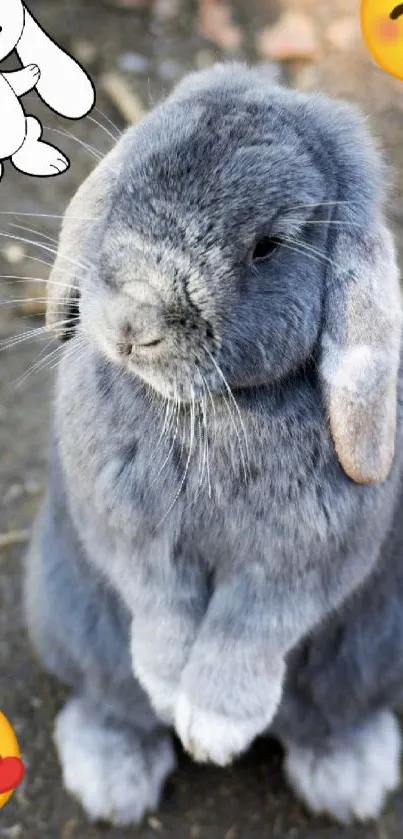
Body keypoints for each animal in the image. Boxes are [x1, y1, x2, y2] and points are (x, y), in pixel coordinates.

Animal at [24, 64, 403, 828]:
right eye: (127, 184)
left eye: (267, 246)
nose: (134, 325)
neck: (211, 410)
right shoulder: (131, 538)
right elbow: (162, 608)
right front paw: (174, 691)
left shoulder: (297, 565)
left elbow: (248, 629)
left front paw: (214, 728)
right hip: (71, 618)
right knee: (112, 700)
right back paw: (112, 779)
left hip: (371, 654)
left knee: (330, 716)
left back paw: (349, 778)